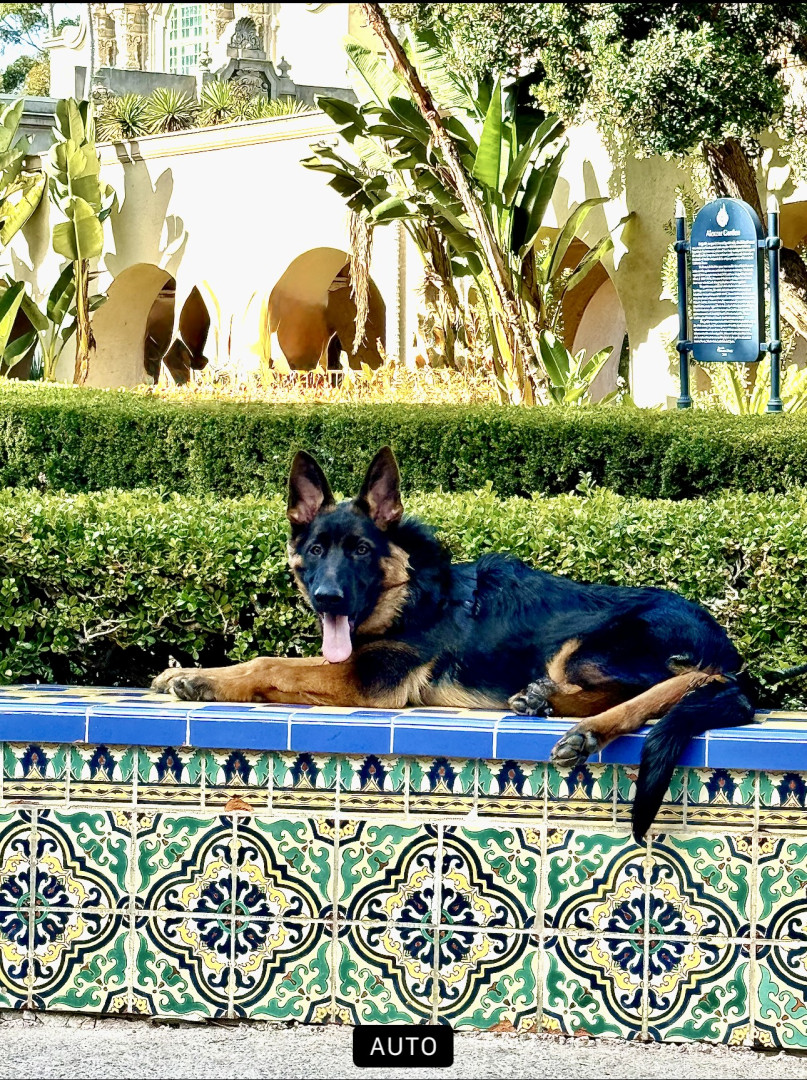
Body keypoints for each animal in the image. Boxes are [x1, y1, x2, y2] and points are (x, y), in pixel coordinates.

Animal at [153, 446, 758, 840]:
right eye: (318, 549)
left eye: (361, 550)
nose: (328, 599)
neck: (411, 592)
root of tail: (727, 649)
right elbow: (272, 665)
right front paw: (184, 675)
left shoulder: (366, 680)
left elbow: (270, 664)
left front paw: (198, 679)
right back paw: (540, 701)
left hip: (589, 648)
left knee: (684, 684)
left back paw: (586, 728)